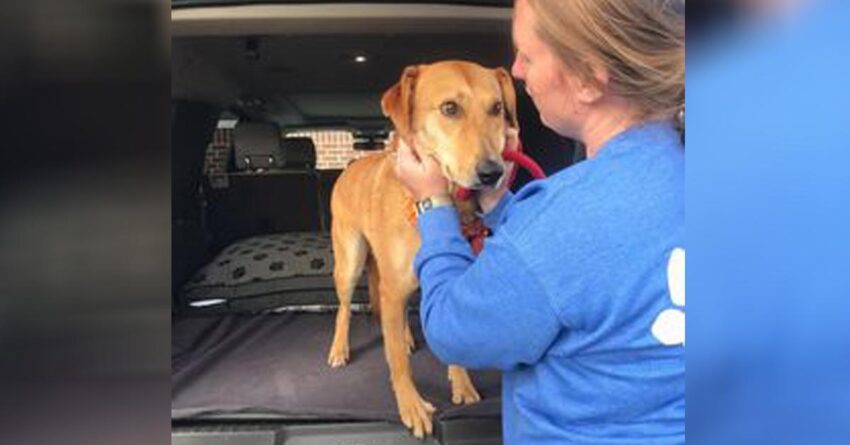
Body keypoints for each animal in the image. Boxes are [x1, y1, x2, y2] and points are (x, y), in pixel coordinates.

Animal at [326, 60, 516, 438]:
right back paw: (340, 347)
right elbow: (398, 362)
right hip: (350, 258)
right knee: (343, 308)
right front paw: (411, 406)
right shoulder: (394, 287)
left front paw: (461, 383)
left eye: (497, 109)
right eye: (450, 108)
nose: (493, 174)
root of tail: (352, 165)